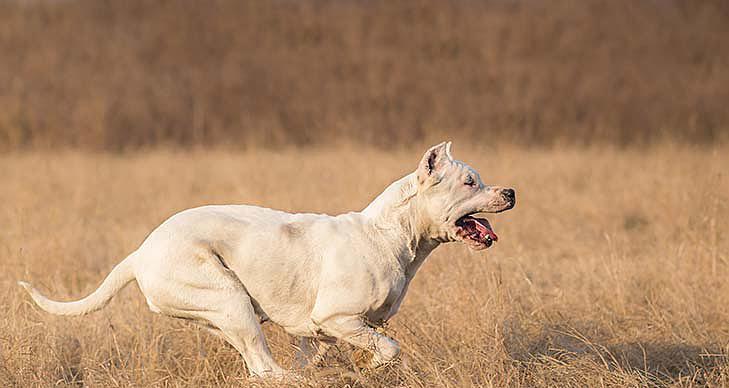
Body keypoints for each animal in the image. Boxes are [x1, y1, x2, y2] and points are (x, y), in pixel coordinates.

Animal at [19, 142, 516, 376]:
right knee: (265, 369)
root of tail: (141, 252)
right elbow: (389, 348)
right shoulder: (339, 319)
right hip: (230, 300)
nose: (511, 191)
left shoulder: (320, 333)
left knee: (261, 365)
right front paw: (374, 367)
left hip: (225, 314)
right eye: (470, 182)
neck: (392, 233)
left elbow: (320, 353)